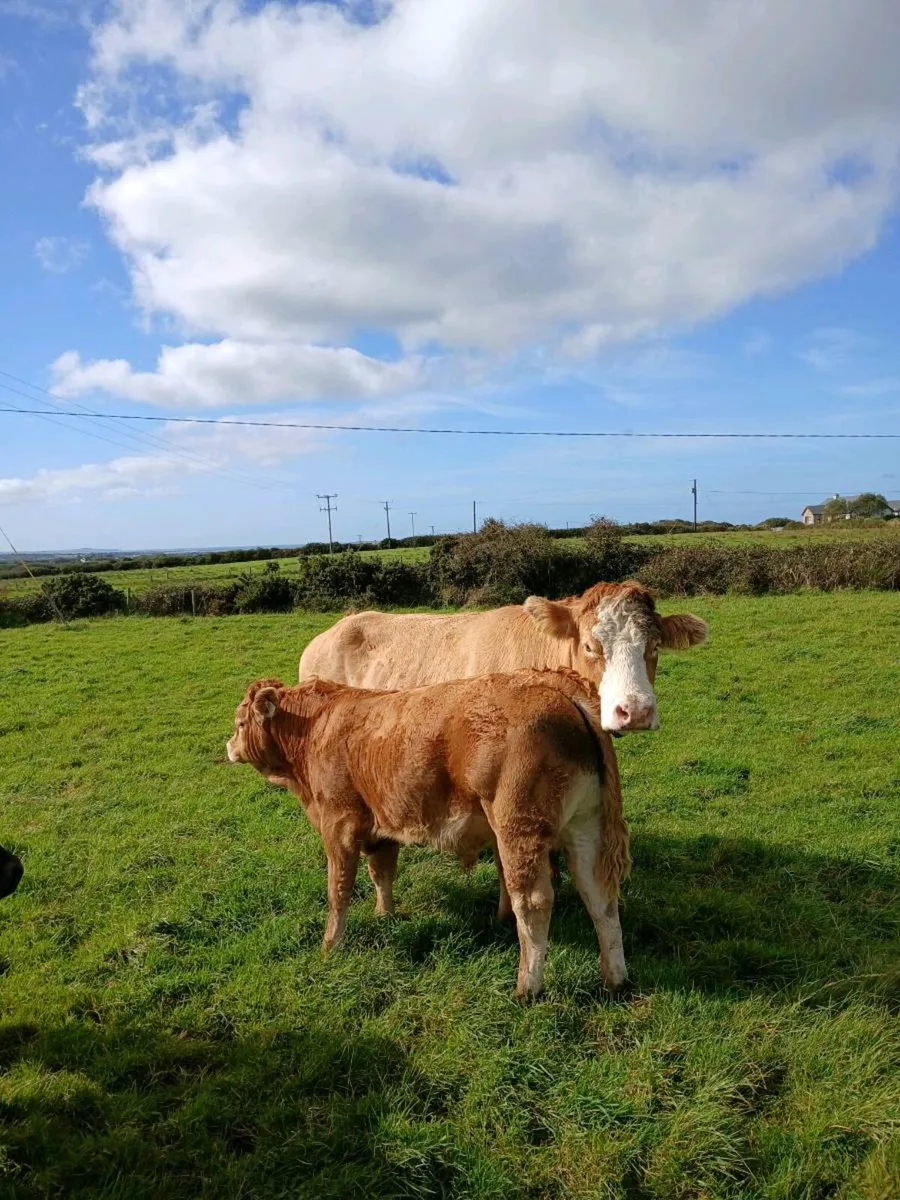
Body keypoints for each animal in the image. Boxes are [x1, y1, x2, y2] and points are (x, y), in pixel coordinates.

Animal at [226, 668, 630, 999]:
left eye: (240, 722)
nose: (229, 746)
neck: (317, 727)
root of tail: (549, 682)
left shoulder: (338, 825)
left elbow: (338, 891)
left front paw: (331, 945)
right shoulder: (380, 825)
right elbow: (382, 873)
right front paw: (384, 915)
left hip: (518, 827)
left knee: (533, 902)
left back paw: (527, 988)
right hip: (585, 827)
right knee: (600, 896)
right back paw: (616, 980)